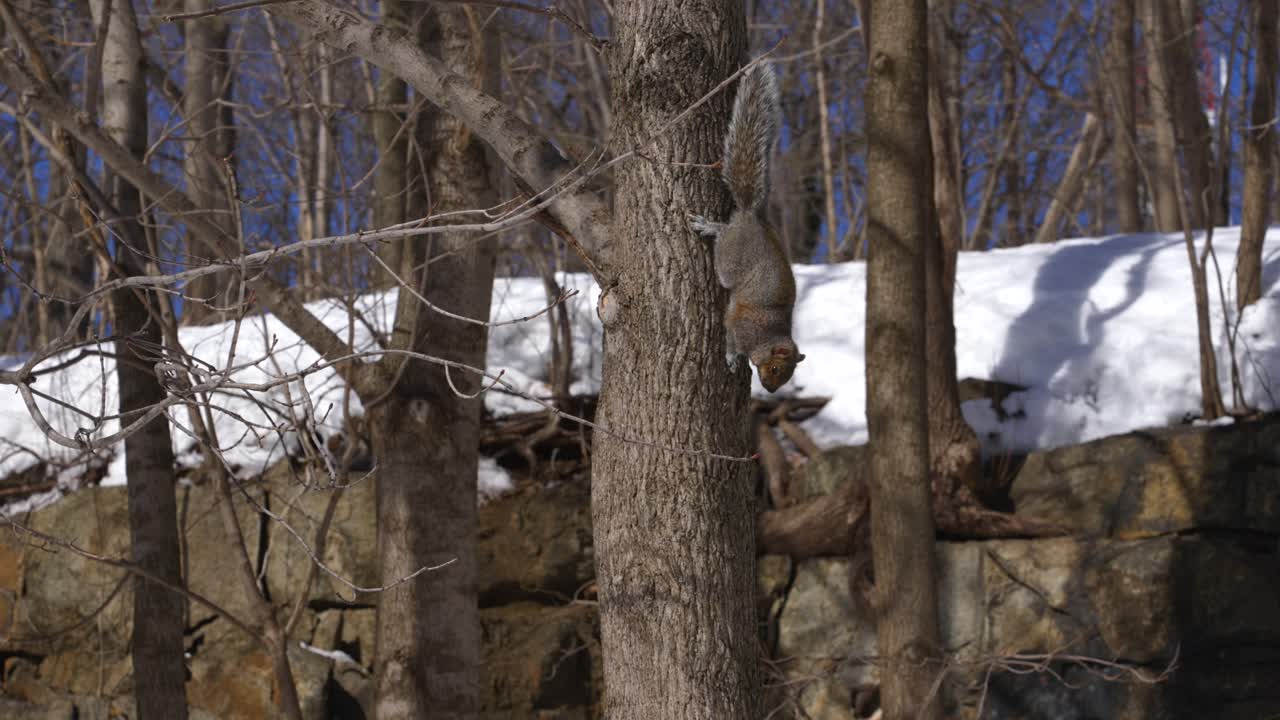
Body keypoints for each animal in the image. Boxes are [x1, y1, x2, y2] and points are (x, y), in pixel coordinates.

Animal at [689, 62, 805, 393]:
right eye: (777, 368)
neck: (766, 337)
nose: (770, 389)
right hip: (731, 260)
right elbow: (730, 338)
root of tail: (750, 217)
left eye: (788, 374)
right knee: (723, 243)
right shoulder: (739, 324)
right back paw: (710, 227)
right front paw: (731, 358)